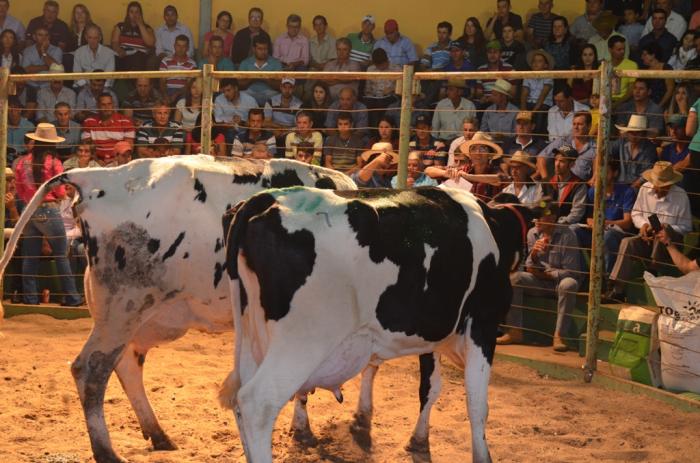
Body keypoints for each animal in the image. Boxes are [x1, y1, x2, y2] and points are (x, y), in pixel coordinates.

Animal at [0, 157, 360, 463]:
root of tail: (98, 176)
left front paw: (303, 429)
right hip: (125, 305)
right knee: (92, 368)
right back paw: (107, 452)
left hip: (131, 313)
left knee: (125, 363)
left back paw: (158, 434)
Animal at [220, 187, 532, 462]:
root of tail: (264, 199)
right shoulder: (483, 323)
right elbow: (477, 403)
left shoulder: (431, 337)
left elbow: (430, 388)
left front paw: (417, 439)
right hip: (302, 342)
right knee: (257, 404)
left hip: (251, 337)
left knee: (238, 400)